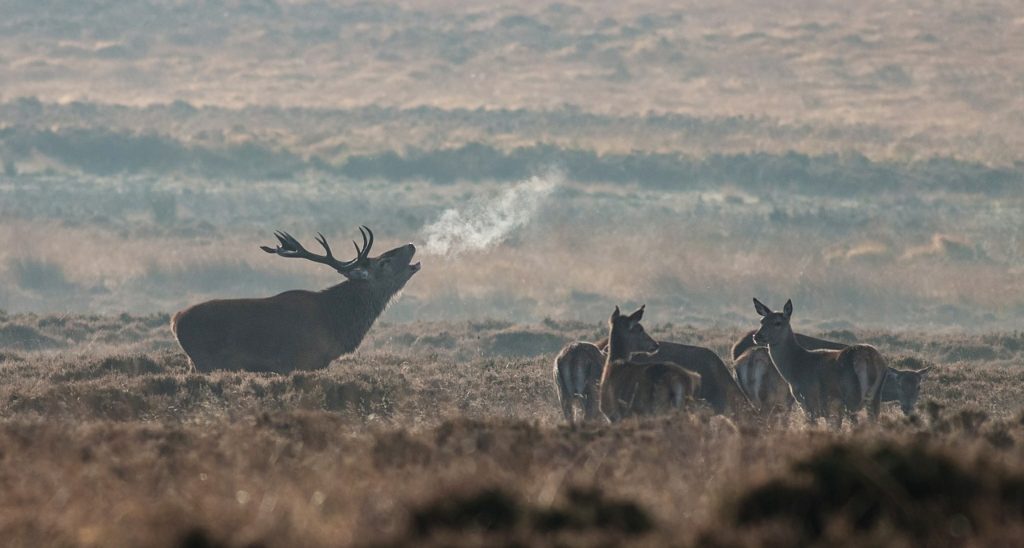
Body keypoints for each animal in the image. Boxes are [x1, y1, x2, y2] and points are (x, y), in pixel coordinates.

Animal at [172, 226, 419, 372]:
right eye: (384, 262)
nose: (411, 244)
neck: (335, 325)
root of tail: (176, 320)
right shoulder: (300, 361)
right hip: (204, 360)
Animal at [753, 301, 888, 424]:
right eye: (761, 321)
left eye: (777, 323)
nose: (757, 336)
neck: (794, 370)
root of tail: (868, 358)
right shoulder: (830, 411)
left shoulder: (809, 404)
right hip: (875, 397)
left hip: (851, 397)